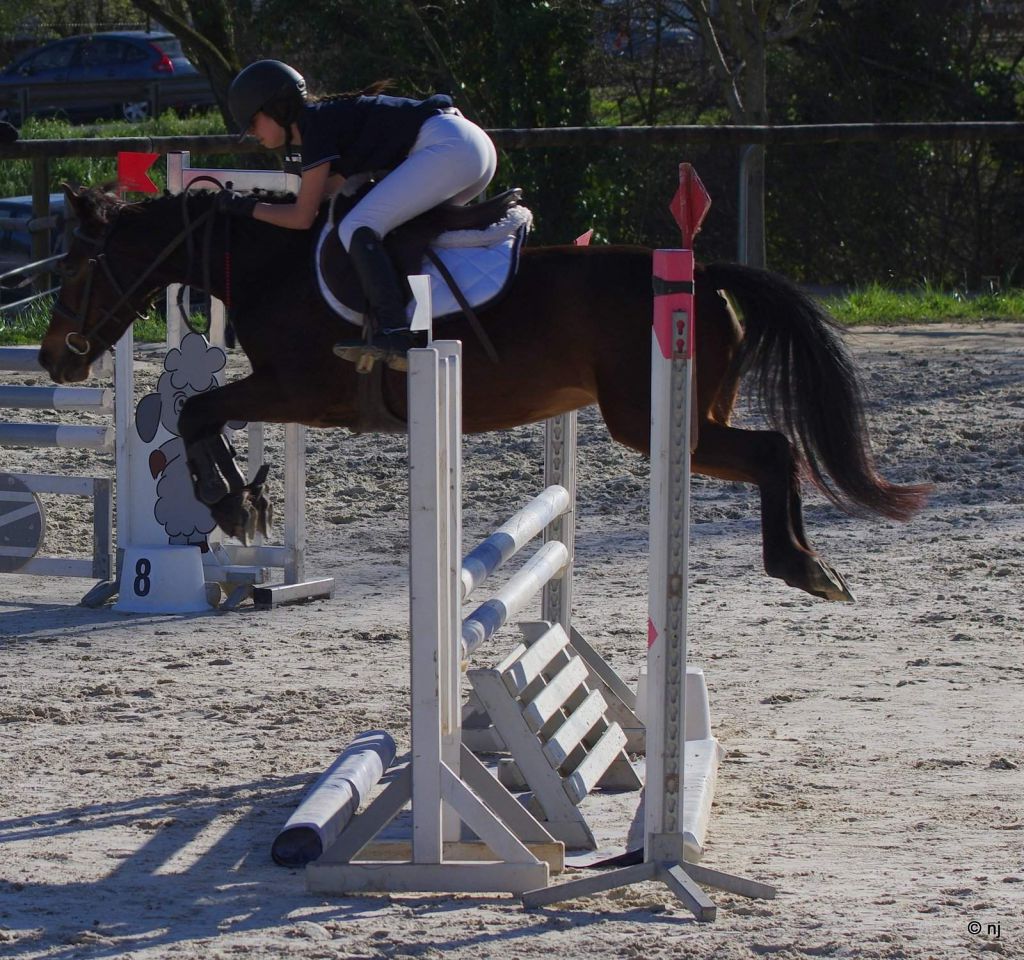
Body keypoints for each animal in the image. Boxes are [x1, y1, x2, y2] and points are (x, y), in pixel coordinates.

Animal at [38, 185, 928, 603]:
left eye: (77, 268)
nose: (53, 360)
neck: (272, 264)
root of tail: (702, 274)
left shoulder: (301, 391)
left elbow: (200, 408)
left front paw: (230, 501)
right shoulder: (287, 392)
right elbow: (200, 411)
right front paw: (237, 497)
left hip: (655, 424)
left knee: (775, 452)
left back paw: (801, 566)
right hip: (690, 415)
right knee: (776, 454)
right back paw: (813, 564)